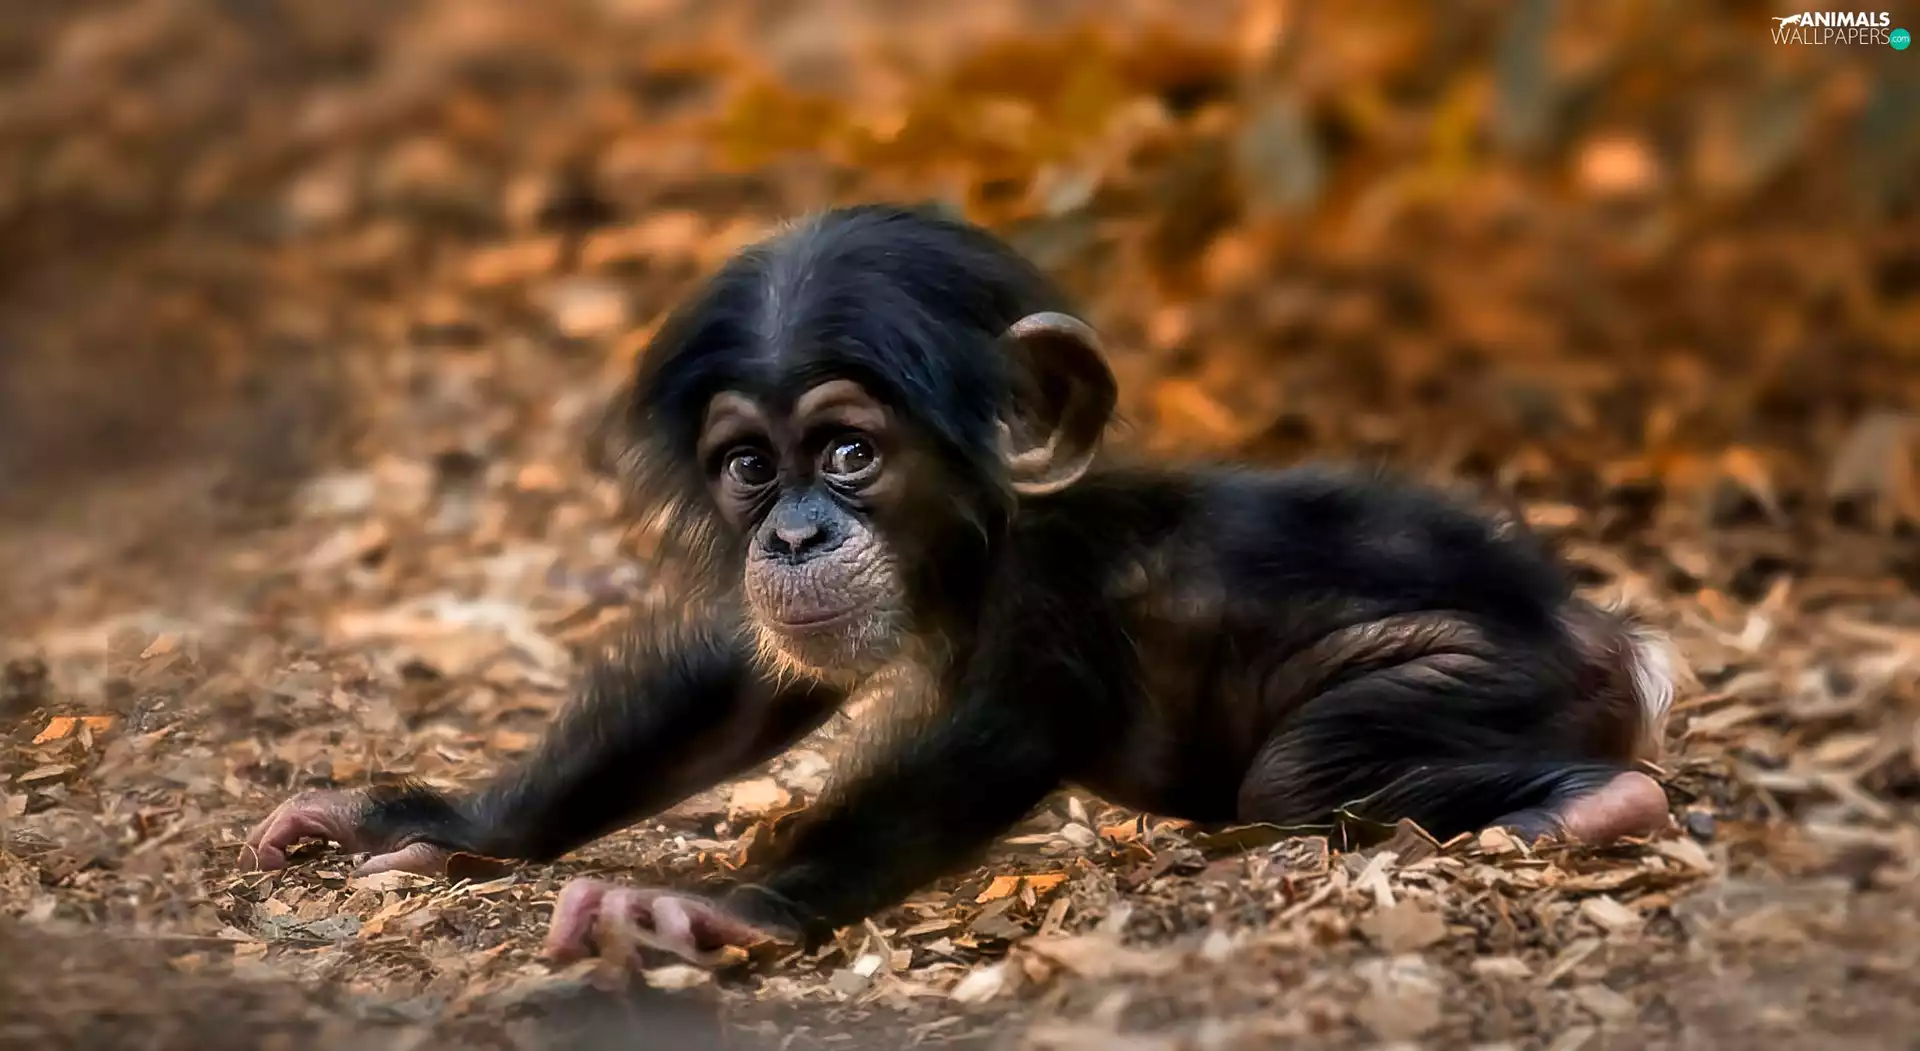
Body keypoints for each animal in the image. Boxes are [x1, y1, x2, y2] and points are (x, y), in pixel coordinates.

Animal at [246, 203, 1681, 967]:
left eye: (848, 450)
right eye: (750, 466)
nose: (795, 534)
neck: (980, 541)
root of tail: (1619, 639)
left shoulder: (1053, 600)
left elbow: (991, 742)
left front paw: (719, 907)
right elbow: (739, 689)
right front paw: (437, 819)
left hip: (1482, 673)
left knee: (1302, 772)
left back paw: (1594, 803)